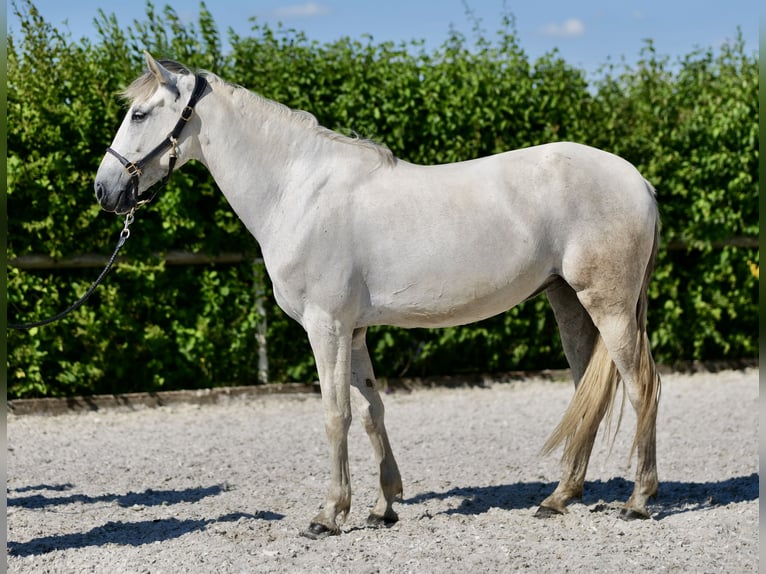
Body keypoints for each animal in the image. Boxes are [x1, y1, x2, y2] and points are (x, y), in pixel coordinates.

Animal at [96, 53, 664, 540]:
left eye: (139, 113)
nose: (104, 191)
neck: (298, 191)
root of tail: (638, 180)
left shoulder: (325, 326)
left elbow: (336, 415)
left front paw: (328, 515)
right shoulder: (354, 331)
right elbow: (371, 412)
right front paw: (382, 507)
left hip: (609, 307)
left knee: (641, 386)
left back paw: (638, 501)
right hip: (568, 302)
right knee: (587, 394)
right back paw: (559, 498)